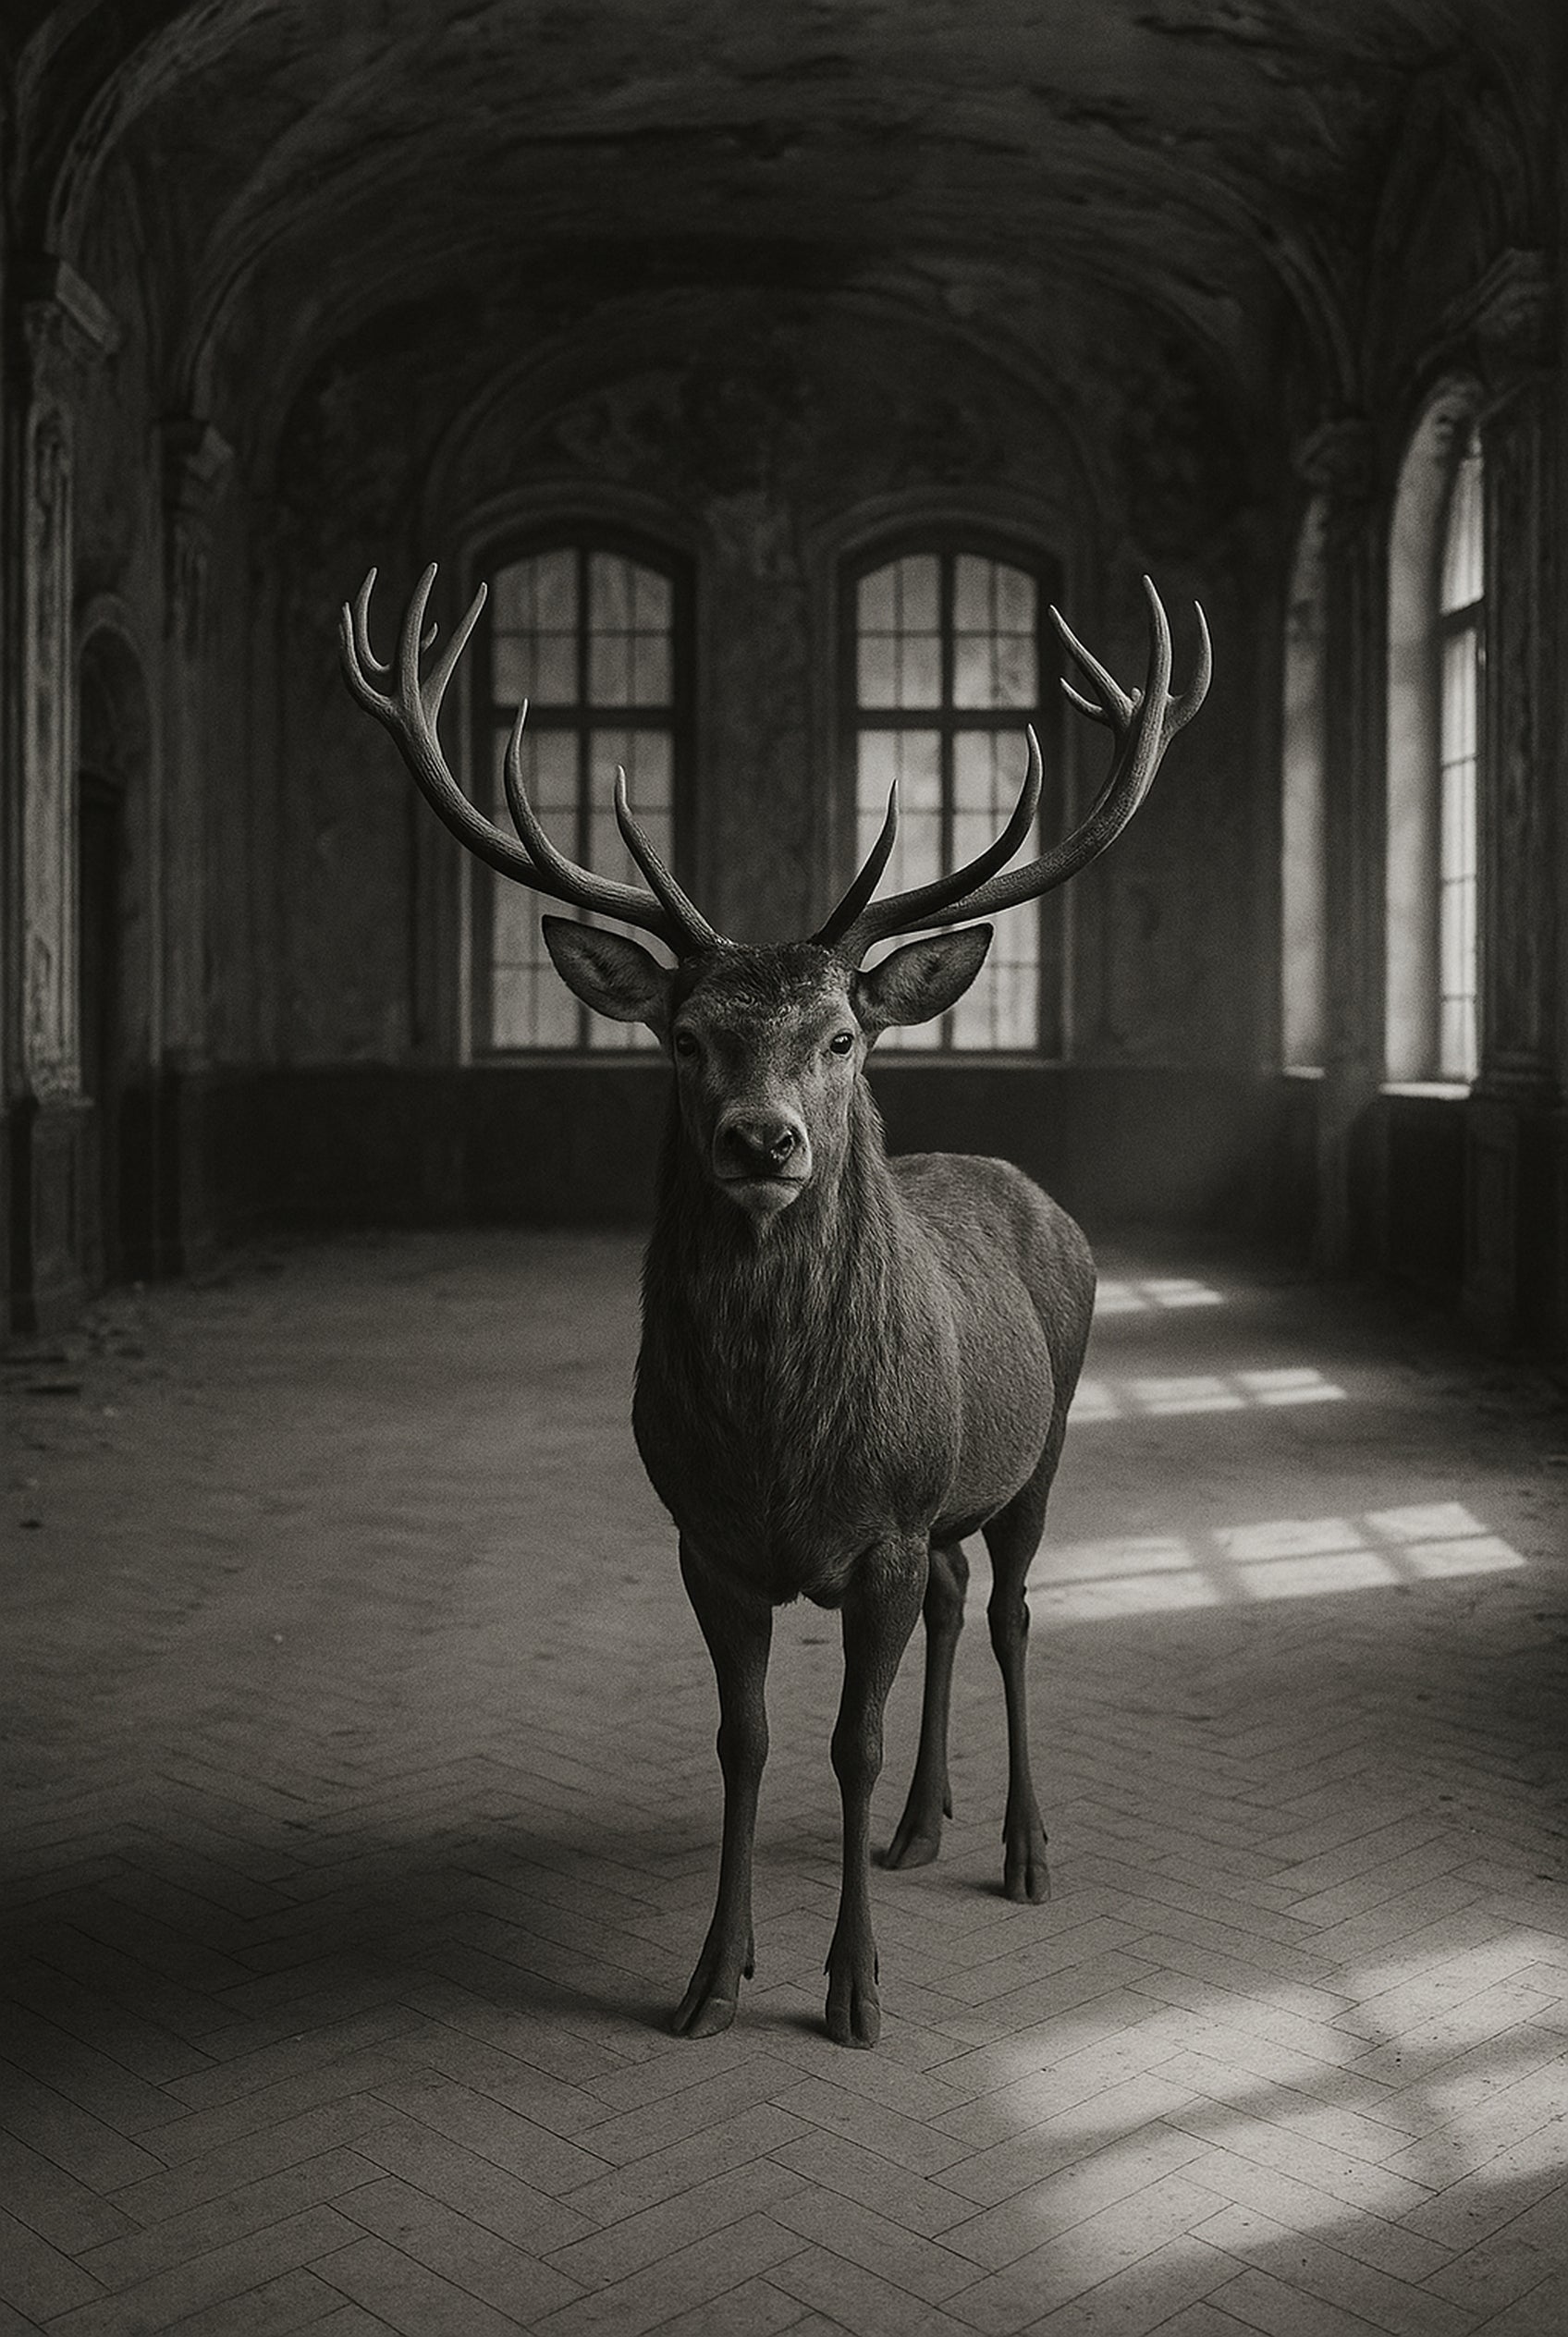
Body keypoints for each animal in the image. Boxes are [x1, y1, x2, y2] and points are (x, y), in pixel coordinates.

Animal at [341, 563, 1209, 2048]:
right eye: (687, 1037)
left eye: (843, 1036)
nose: (764, 1140)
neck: (780, 1446)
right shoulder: (705, 1538)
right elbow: (741, 1741)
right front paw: (712, 1974)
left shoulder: (885, 1527)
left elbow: (845, 1741)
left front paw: (854, 1990)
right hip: (951, 1496)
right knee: (959, 1596)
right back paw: (925, 1823)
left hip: (1039, 1448)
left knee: (1012, 1610)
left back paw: (1022, 1848)